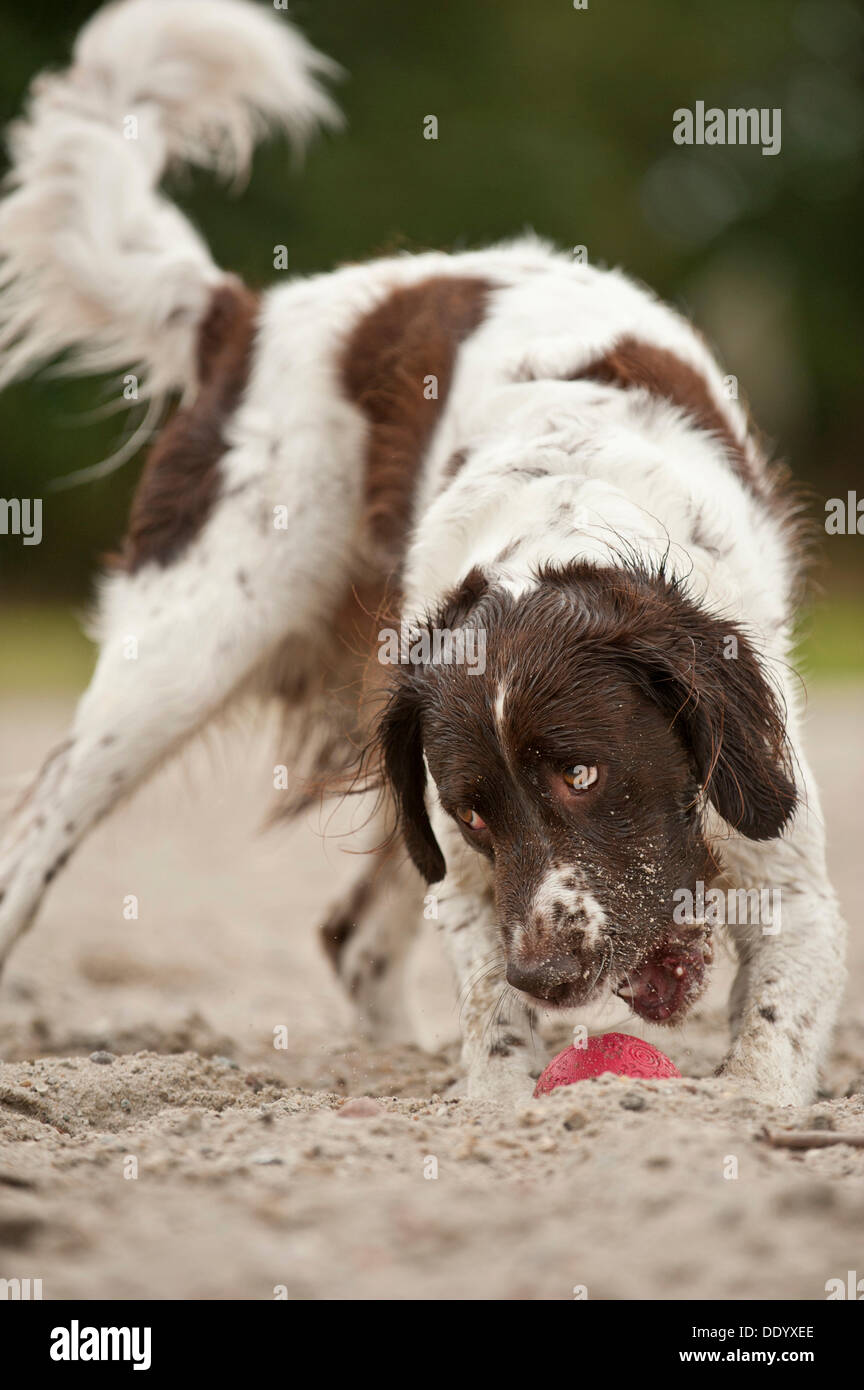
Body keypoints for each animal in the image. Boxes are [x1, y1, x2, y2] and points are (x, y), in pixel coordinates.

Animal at [0, 0, 844, 1106]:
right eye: (478, 814)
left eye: (585, 773)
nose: (551, 974)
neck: (560, 522)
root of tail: (246, 313)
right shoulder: (465, 867)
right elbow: (493, 1020)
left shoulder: (788, 872)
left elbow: (764, 1058)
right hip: (181, 659)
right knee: (37, 837)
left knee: (354, 936)